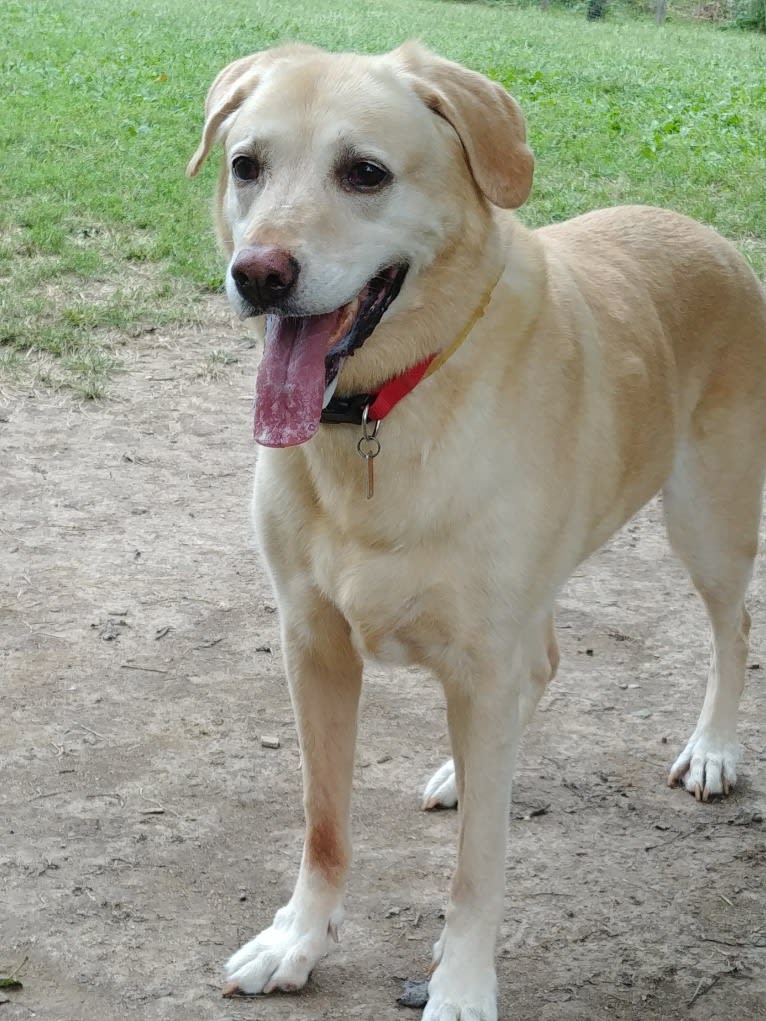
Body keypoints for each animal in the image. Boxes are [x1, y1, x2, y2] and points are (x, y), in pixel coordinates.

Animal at [185, 39, 766, 1021]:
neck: (390, 403)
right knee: (545, 666)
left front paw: (459, 983)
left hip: (710, 520)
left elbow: (477, 869)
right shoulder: (313, 643)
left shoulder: (484, 655)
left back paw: (714, 749)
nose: (259, 275)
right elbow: (324, 822)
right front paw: (298, 939)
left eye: (365, 172)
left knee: (732, 628)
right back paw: (468, 772)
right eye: (245, 166)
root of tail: (704, 233)